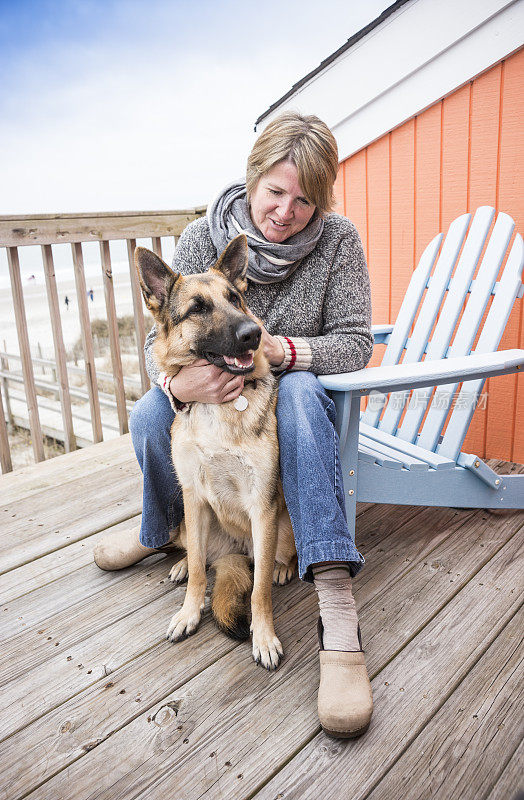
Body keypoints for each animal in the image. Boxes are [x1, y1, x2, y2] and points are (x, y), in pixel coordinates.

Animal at [135, 236, 296, 668]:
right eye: (197, 309)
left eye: (235, 299)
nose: (253, 334)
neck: (218, 407)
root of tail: (234, 551)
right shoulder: (193, 495)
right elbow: (196, 572)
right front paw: (189, 612)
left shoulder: (262, 506)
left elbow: (259, 590)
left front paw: (264, 635)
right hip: (188, 520)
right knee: (197, 556)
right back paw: (179, 564)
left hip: (281, 528)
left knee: (272, 562)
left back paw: (282, 568)